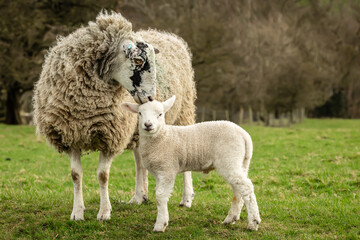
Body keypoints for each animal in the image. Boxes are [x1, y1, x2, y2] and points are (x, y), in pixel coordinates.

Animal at [33, 11, 197, 221]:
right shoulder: (71, 135)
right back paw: (139, 197)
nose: (151, 98)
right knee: (140, 161)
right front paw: (77, 212)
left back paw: (186, 199)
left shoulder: (111, 136)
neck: (86, 106)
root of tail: (165, 34)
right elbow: (75, 175)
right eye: (138, 61)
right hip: (140, 129)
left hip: (184, 113)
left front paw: (104, 212)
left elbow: (103, 175)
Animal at [121, 95, 262, 232]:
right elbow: (159, 195)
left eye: (160, 114)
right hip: (240, 162)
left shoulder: (167, 169)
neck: (162, 137)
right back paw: (231, 218)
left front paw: (160, 225)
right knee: (238, 189)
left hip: (229, 159)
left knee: (246, 187)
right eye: (140, 113)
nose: (148, 125)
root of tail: (244, 135)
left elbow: (160, 196)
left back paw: (253, 222)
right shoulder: (158, 172)